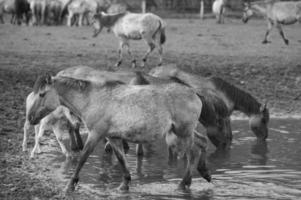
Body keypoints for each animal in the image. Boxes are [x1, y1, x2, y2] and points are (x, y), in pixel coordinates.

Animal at [28, 73, 211, 192]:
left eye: (42, 94)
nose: (30, 118)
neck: (92, 99)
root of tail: (194, 93)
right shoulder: (113, 137)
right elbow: (122, 161)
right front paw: (124, 185)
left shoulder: (95, 134)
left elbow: (82, 158)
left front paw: (70, 185)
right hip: (183, 132)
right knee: (202, 142)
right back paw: (204, 173)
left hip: (183, 133)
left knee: (192, 153)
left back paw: (184, 183)